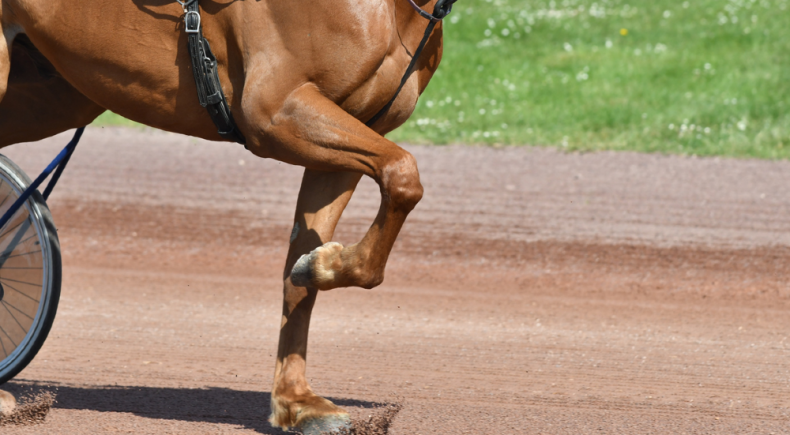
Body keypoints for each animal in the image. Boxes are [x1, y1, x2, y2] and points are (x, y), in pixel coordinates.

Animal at [0, 0, 446, 432]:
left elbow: (300, 274)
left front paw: (297, 402)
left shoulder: (349, 135)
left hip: (57, 94)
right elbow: (403, 174)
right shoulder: (276, 112)